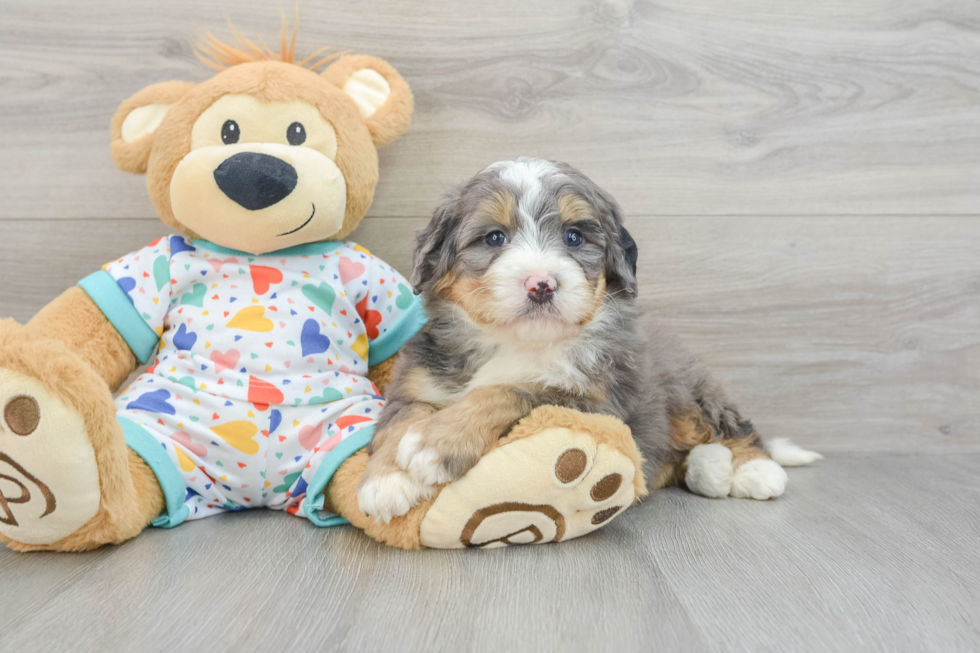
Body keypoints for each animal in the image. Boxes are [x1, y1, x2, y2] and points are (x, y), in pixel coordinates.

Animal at [356, 157, 816, 520]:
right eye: (495, 237)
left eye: (574, 236)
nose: (541, 284)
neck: (519, 343)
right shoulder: (418, 381)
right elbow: (399, 419)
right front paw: (385, 483)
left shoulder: (596, 402)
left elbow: (511, 390)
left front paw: (434, 444)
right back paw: (711, 468)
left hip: (691, 394)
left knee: (737, 427)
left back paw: (755, 470)